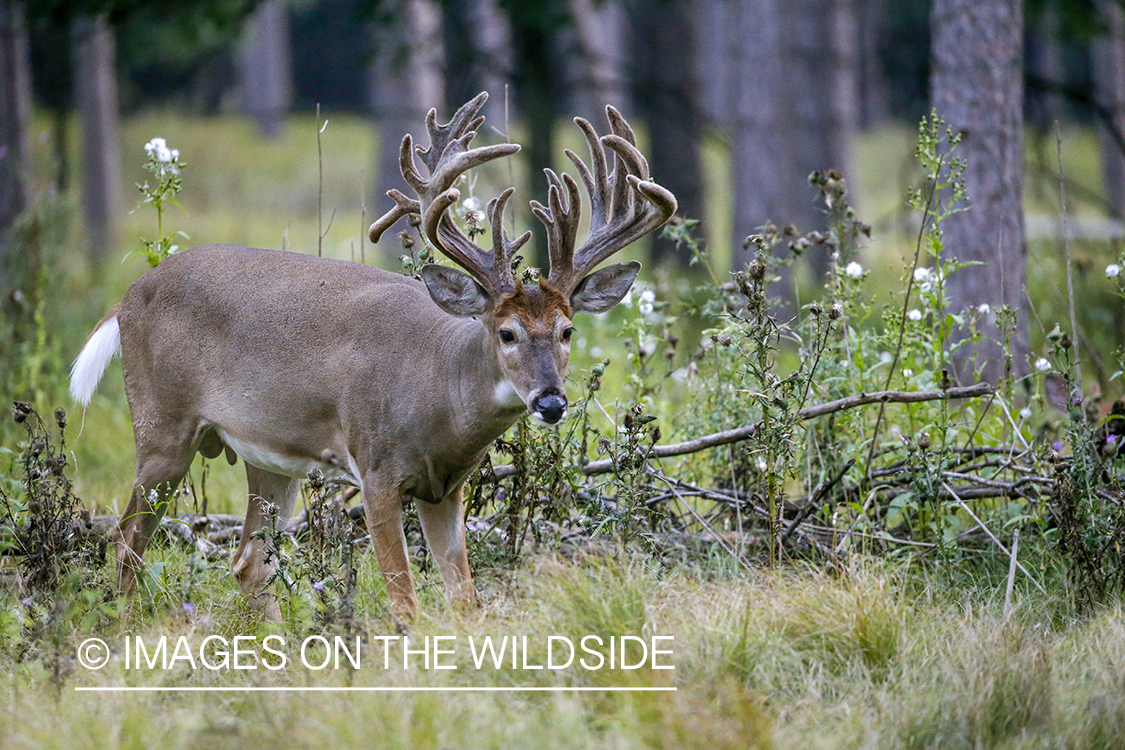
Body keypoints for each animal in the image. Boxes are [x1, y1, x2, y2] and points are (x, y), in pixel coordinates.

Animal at [70, 93, 675, 620]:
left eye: (568, 330)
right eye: (506, 333)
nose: (551, 401)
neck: (438, 394)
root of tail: (127, 298)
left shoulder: (445, 488)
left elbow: (465, 600)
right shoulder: (376, 469)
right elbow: (404, 600)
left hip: (267, 456)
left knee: (247, 561)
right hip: (163, 425)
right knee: (126, 542)